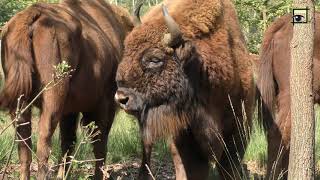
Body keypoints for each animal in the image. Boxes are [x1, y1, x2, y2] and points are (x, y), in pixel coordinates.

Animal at [0, 0, 133, 179]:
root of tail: (34, 13)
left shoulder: (70, 111)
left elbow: (68, 142)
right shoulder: (104, 104)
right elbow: (99, 142)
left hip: (21, 103)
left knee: (24, 146)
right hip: (53, 98)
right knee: (43, 141)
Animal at [114, 0, 255, 179]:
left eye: (155, 59)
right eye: (126, 51)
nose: (121, 98)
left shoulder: (239, 129)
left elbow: (229, 167)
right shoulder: (185, 137)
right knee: (147, 147)